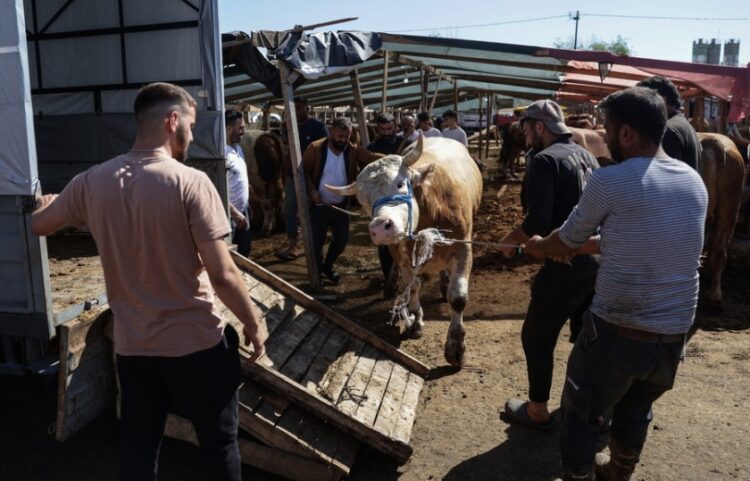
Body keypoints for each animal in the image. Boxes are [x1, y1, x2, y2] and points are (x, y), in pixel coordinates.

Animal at [326, 135, 484, 364]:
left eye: (400, 184)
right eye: (364, 201)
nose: (380, 228)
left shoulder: (463, 249)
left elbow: (458, 298)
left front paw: (456, 347)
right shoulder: (402, 257)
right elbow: (413, 287)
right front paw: (416, 321)